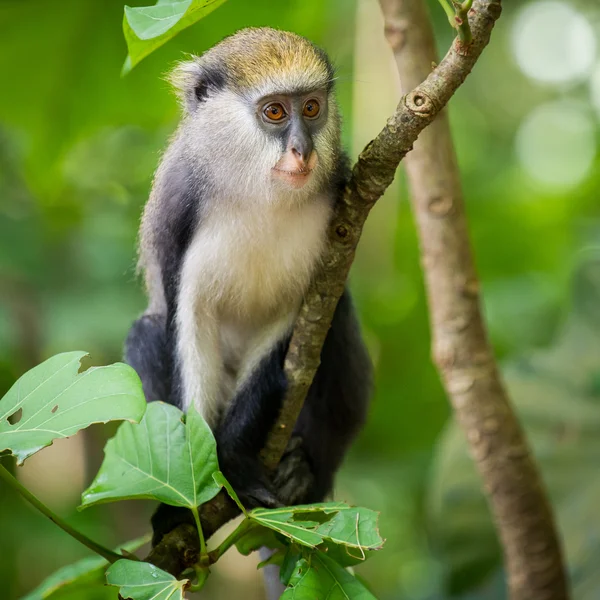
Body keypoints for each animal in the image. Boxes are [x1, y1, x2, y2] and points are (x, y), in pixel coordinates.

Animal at [123, 29, 370, 548]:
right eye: (274, 112)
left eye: (311, 108)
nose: (302, 150)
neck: (259, 193)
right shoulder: (179, 206)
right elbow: (188, 324)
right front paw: (188, 494)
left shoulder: (338, 210)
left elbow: (299, 328)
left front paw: (235, 458)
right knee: (146, 332)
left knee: (336, 323)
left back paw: (302, 474)